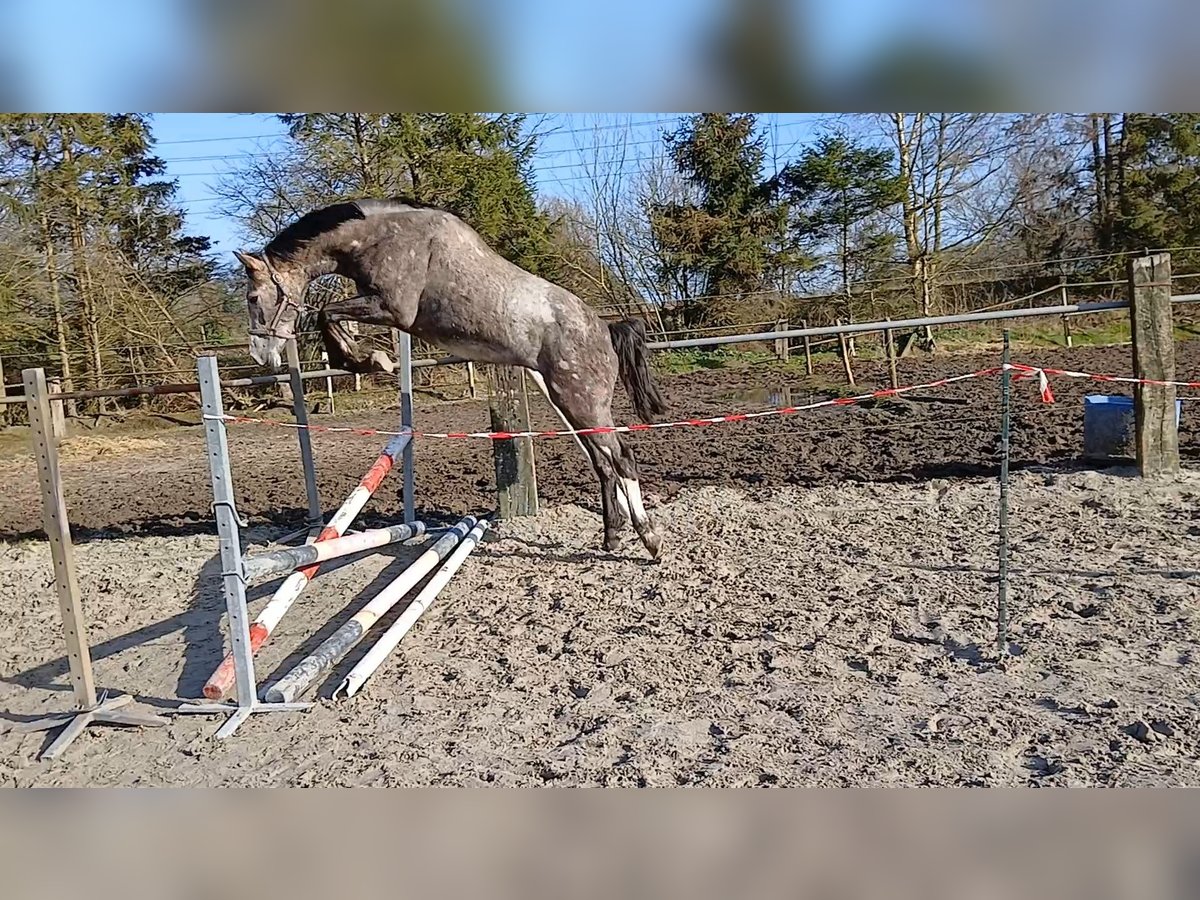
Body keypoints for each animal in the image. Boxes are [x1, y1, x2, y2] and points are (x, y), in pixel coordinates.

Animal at [229, 198, 672, 561]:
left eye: (253, 298)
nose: (262, 356)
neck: (378, 237)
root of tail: (605, 329)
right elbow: (329, 316)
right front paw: (368, 358)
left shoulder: (393, 309)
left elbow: (326, 314)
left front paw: (369, 360)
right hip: (568, 403)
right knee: (603, 463)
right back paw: (612, 537)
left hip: (583, 401)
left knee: (622, 458)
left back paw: (650, 540)